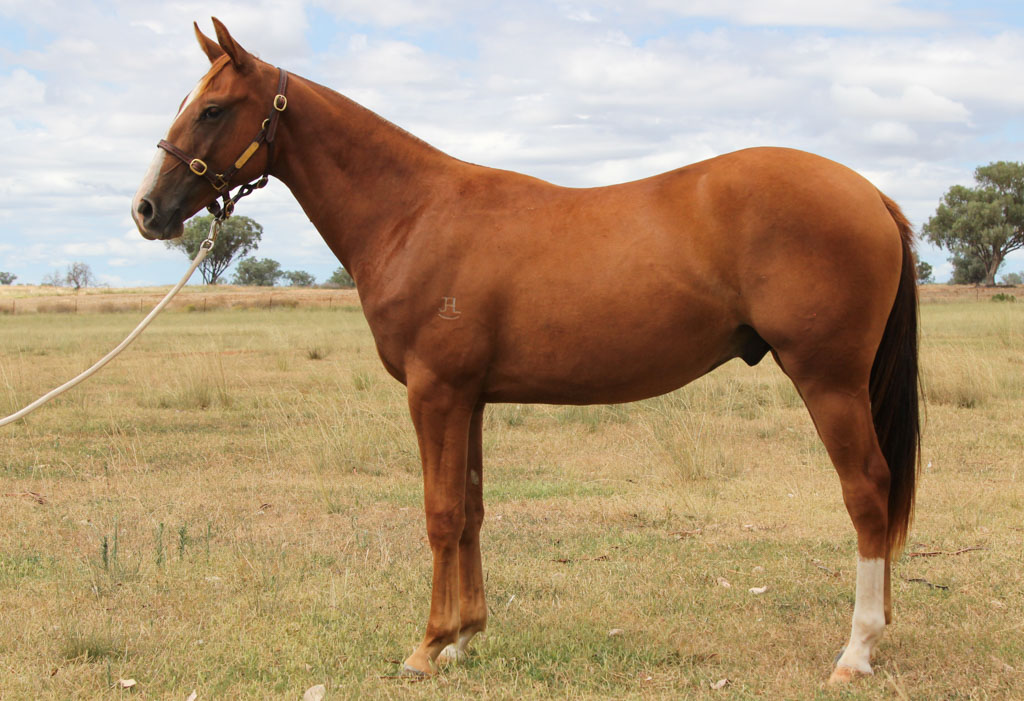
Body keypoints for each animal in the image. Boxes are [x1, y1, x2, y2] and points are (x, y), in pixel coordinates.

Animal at [132, 19, 920, 685]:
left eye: (212, 109)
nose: (146, 210)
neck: (412, 213)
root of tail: (871, 195)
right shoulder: (470, 396)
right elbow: (473, 508)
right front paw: (465, 635)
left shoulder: (434, 391)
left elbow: (440, 513)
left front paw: (426, 646)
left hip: (829, 379)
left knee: (867, 491)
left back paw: (856, 650)